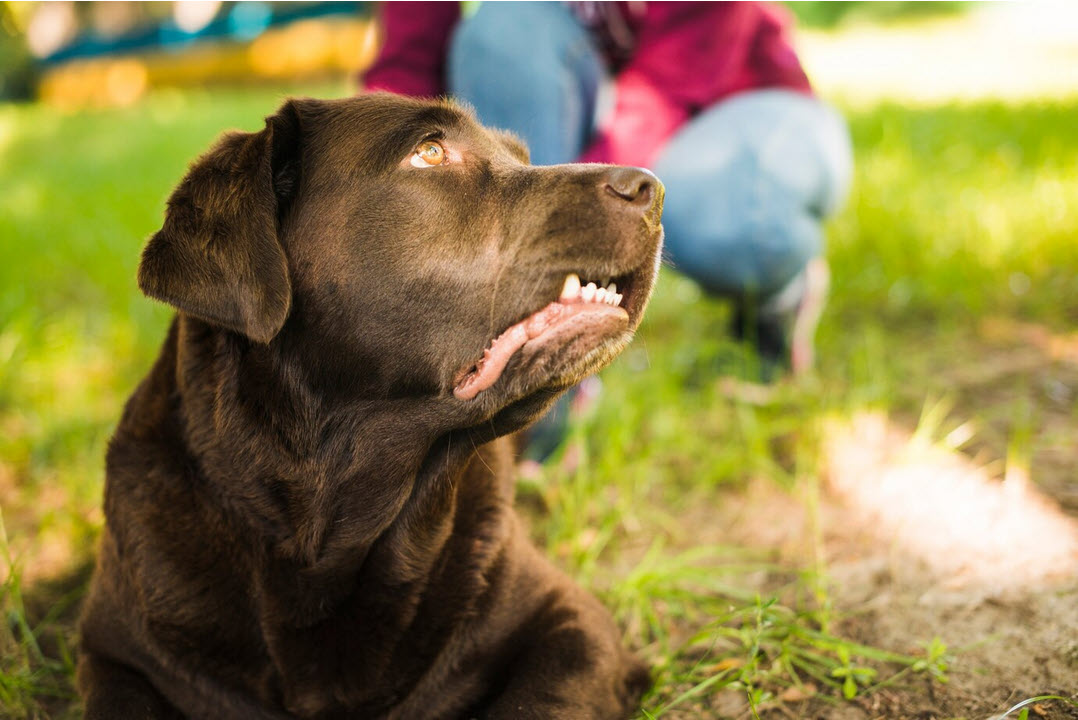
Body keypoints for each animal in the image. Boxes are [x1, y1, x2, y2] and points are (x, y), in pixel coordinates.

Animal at [75, 92, 659, 715]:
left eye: (520, 156)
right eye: (429, 152)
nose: (650, 187)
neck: (330, 537)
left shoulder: (574, 622)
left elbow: (537, 702)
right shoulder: (116, 652)